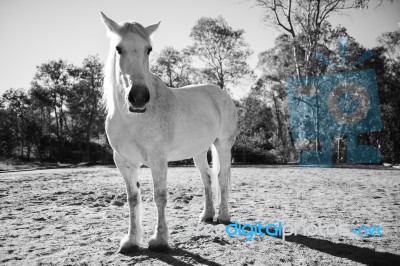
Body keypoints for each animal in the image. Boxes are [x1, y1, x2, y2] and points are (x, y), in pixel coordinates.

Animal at [101, 13, 238, 254]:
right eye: (119, 48)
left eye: (148, 49)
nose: (138, 97)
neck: (133, 118)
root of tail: (220, 93)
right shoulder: (124, 162)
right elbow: (133, 198)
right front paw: (131, 241)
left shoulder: (158, 159)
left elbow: (160, 196)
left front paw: (160, 240)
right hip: (199, 151)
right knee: (207, 177)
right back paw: (207, 215)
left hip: (222, 145)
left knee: (222, 177)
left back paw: (223, 216)